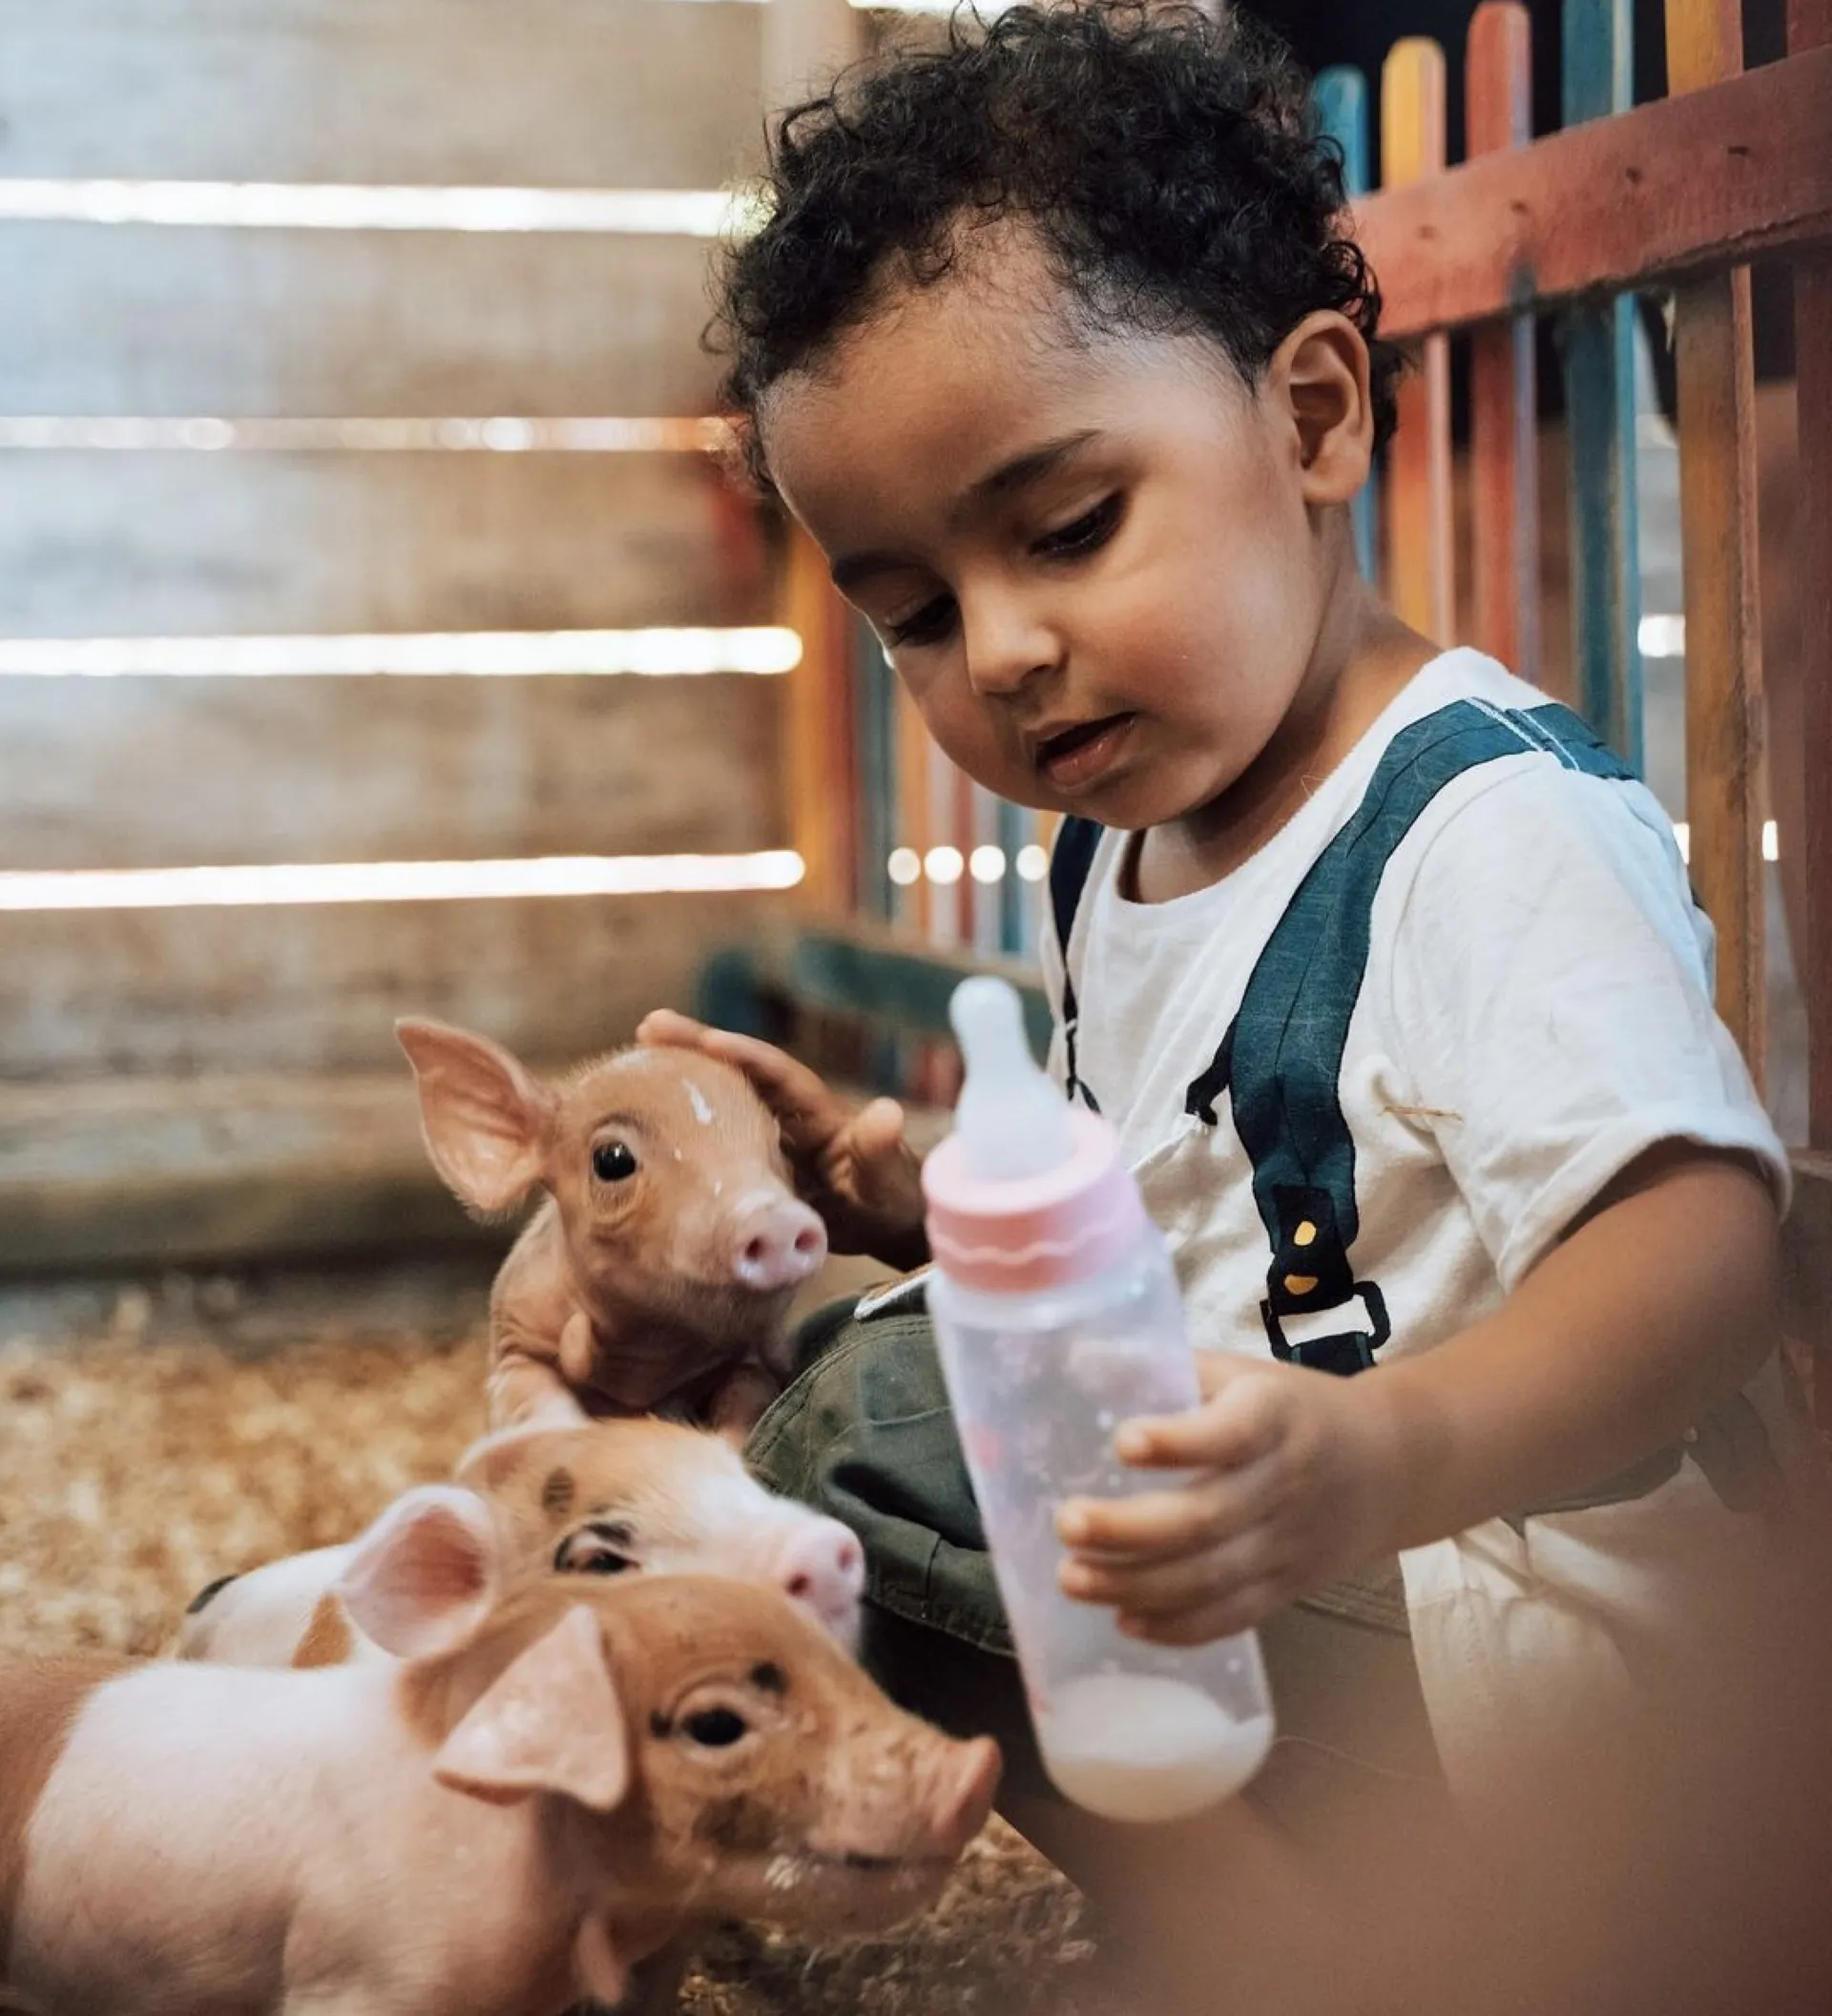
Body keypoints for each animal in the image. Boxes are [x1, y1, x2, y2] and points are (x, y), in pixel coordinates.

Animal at [395, 1017, 829, 1438]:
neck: (645, 1355)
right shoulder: (513, 1338)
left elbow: (747, 1399)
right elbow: (534, 1399)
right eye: (612, 1160)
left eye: (783, 1147)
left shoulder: (753, 1359)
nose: (776, 1217)